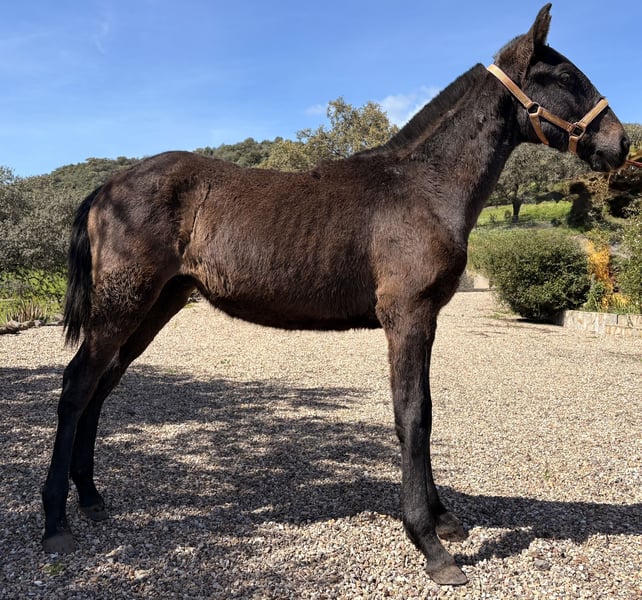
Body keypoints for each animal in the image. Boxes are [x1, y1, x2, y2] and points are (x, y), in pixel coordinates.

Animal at [42, 4, 629, 586]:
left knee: (101, 386)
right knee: (77, 385)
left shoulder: (426, 319)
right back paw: (55, 523)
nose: (620, 143)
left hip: (154, 306)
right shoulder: (407, 315)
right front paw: (430, 543)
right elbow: (412, 413)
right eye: (564, 76)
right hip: (124, 306)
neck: (422, 186)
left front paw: (444, 519)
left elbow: (424, 408)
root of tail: (106, 189)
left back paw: (91, 499)